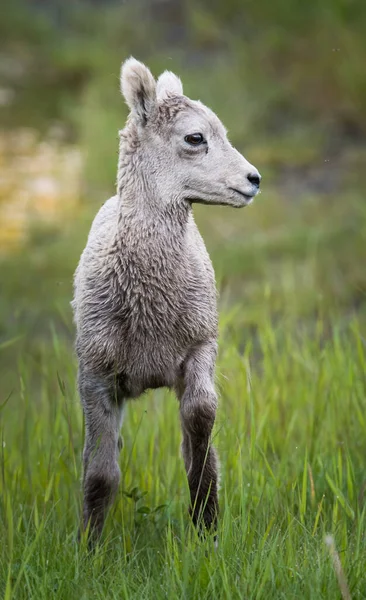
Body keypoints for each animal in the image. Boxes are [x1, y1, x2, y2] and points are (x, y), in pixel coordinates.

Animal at [72, 58, 260, 540]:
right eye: (195, 138)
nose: (253, 180)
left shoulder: (200, 349)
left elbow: (200, 433)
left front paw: (206, 523)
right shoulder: (95, 375)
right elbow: (100, 473)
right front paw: (88, 547)